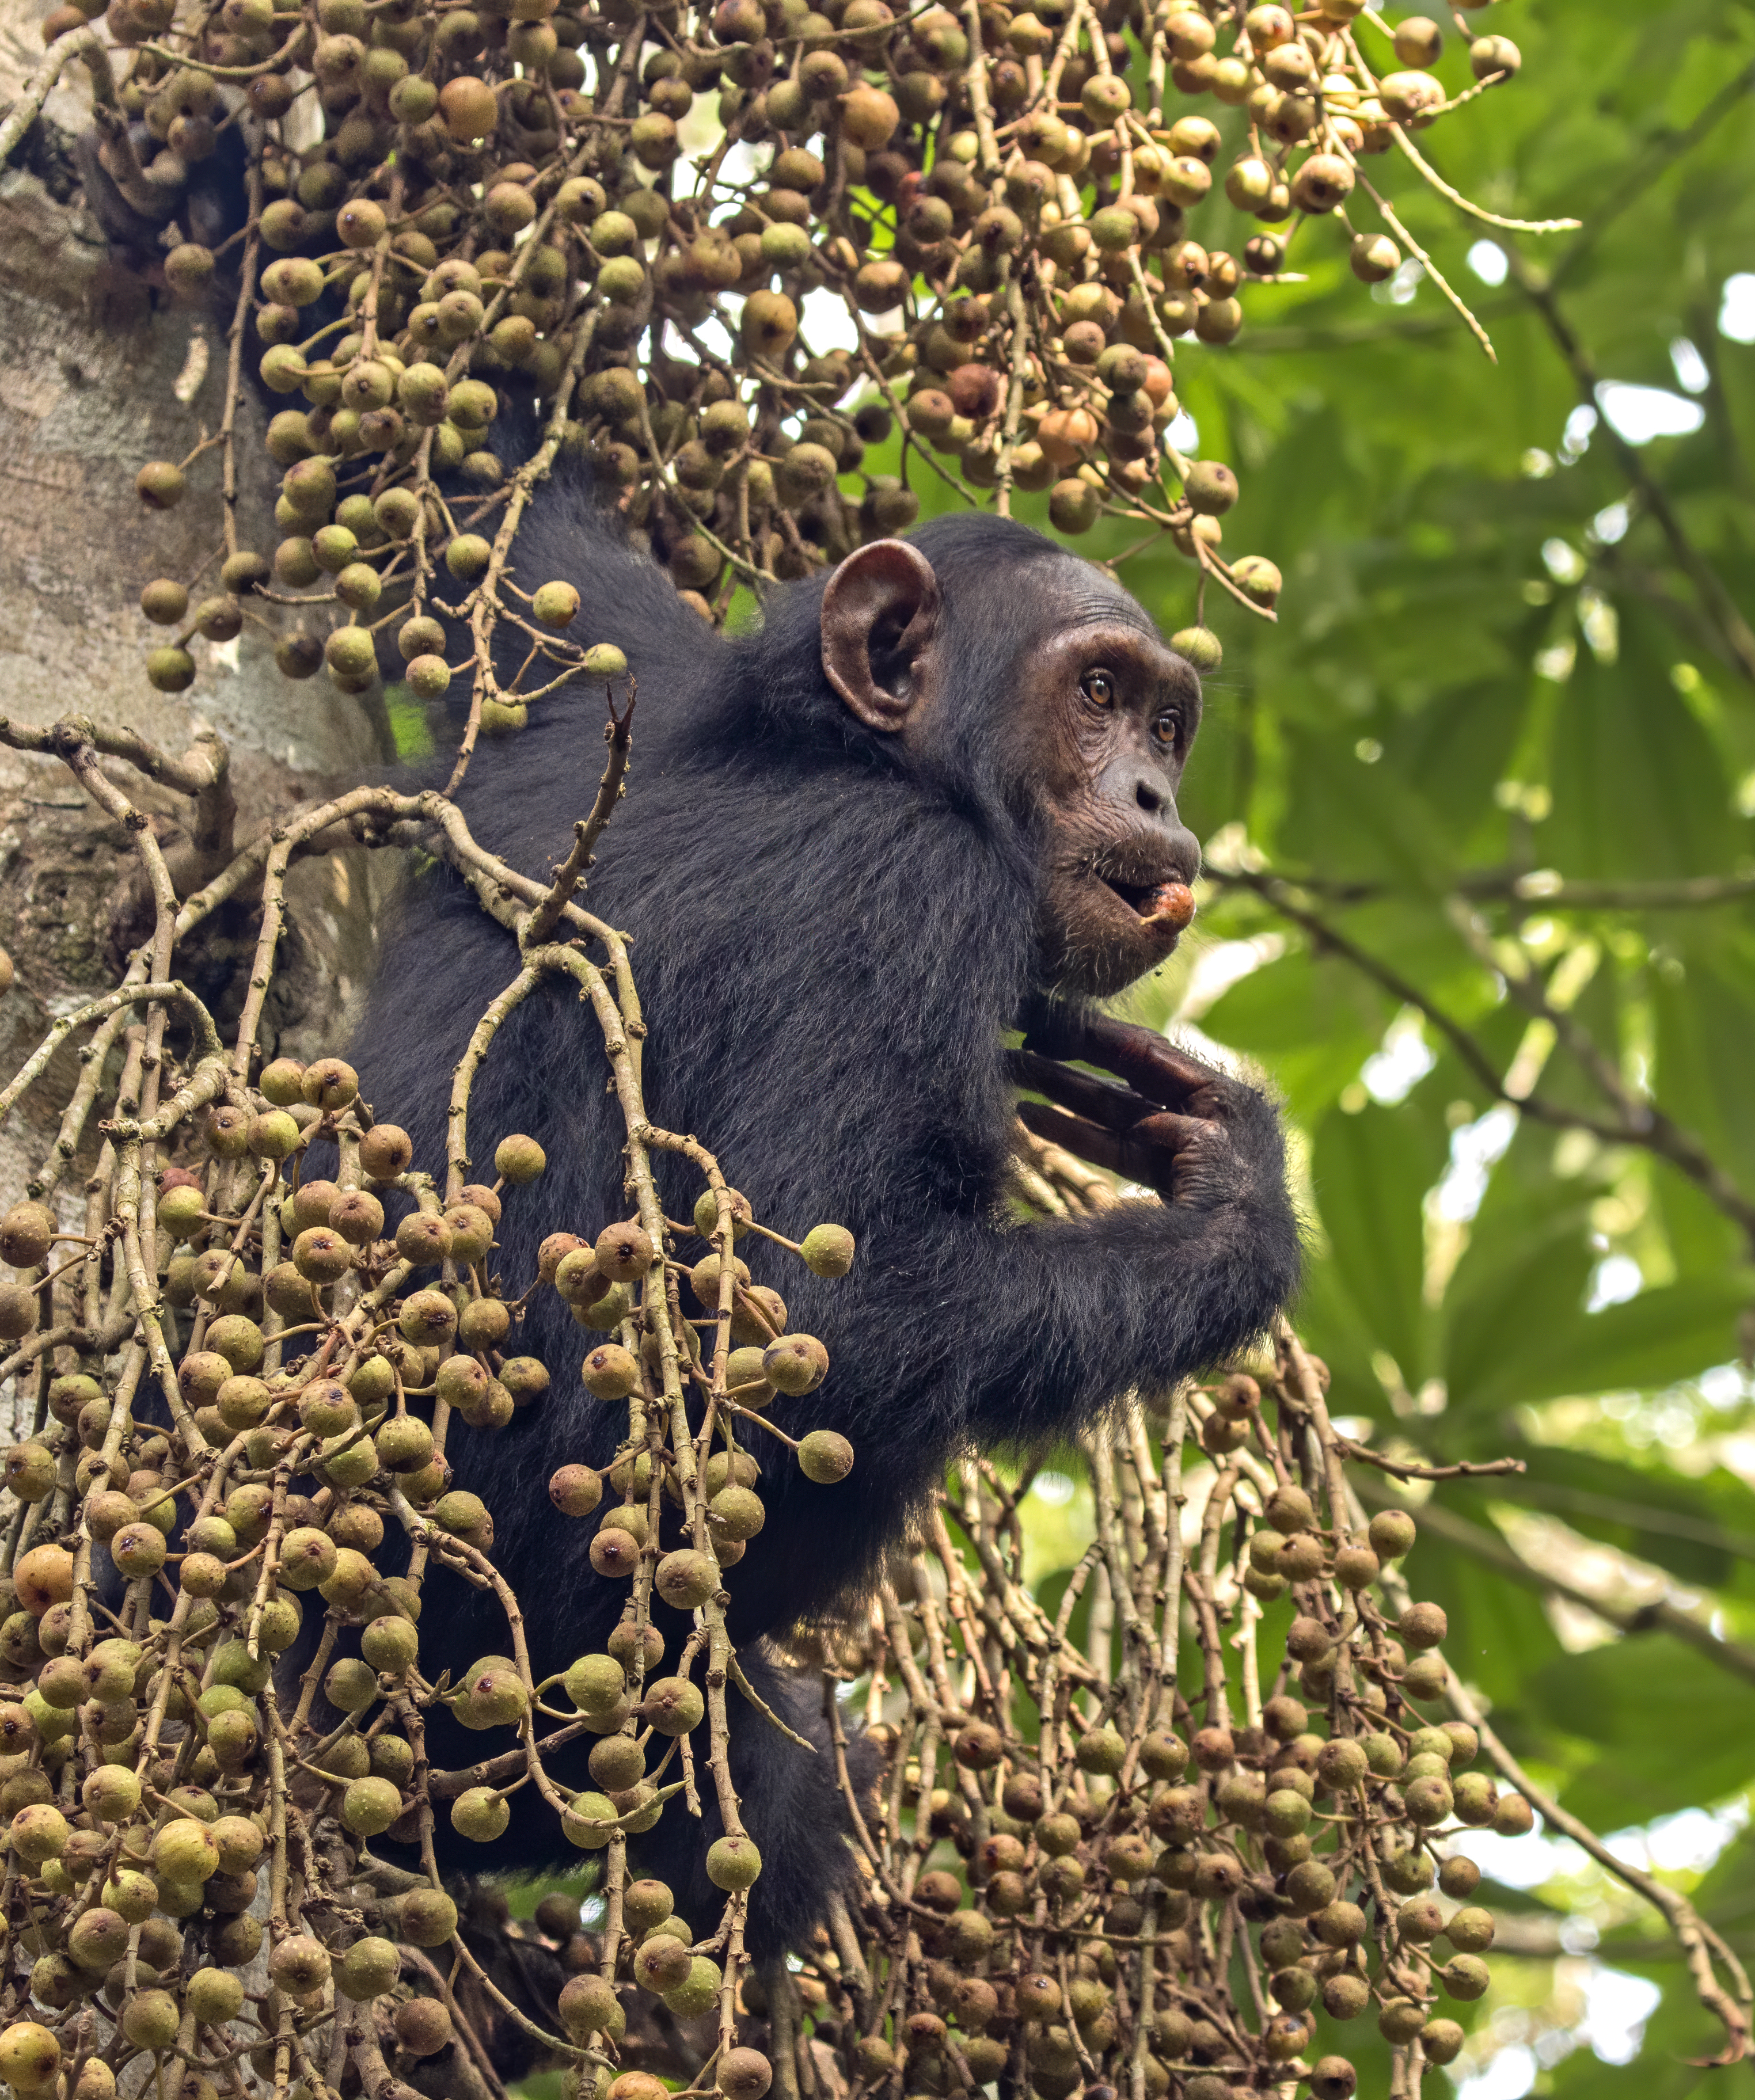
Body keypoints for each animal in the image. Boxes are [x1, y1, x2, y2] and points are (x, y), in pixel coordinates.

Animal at [346, 487, 1301, 1949]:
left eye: (1166, 726)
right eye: (1095, 693)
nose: (1154, 792)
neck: (847, 759)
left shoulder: (605, 687)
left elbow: (496, 535)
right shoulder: (907, 900)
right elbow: (827, 1323)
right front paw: (1236, 1197)